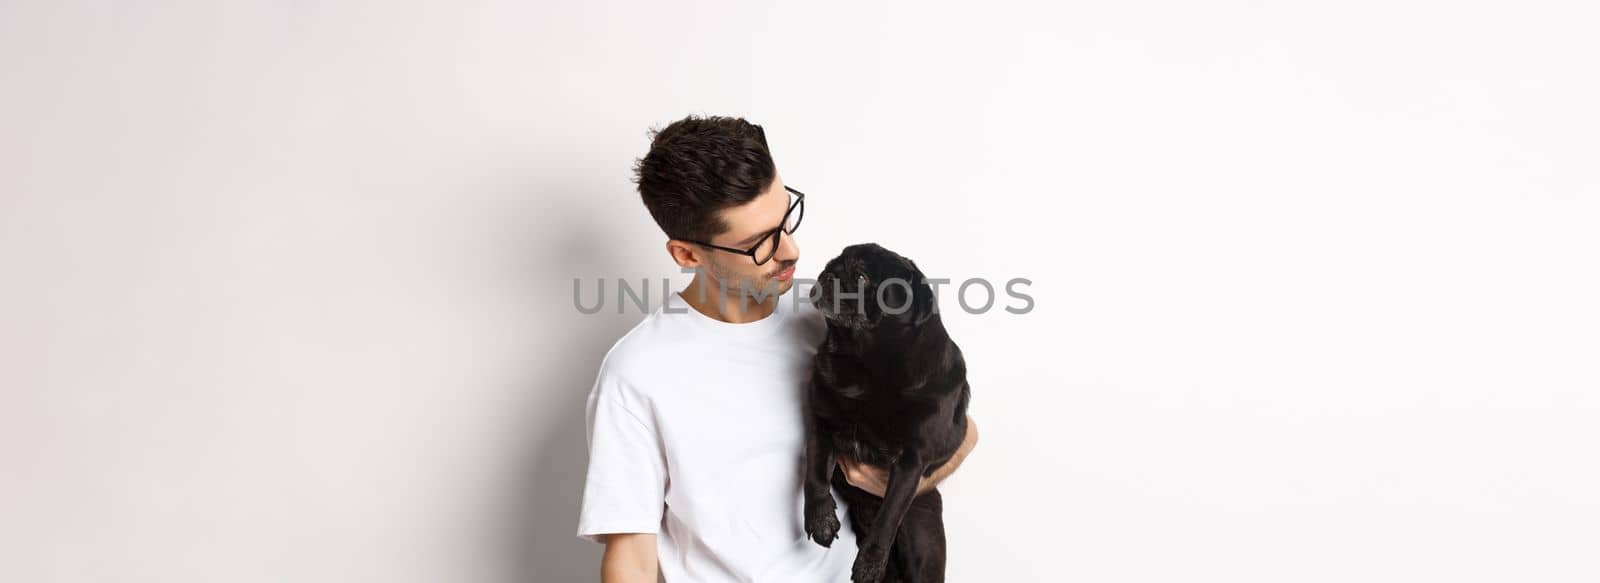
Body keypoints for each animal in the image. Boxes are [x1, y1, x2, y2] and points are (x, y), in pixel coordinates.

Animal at [800, 241, 972, 583]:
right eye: (833, 263)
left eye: (862, 277)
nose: (828, 274)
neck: (867, 362)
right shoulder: (822, 422)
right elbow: (815, 473)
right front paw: (820, 518)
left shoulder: (911, 461)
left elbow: (889, 516)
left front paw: (869, 563)